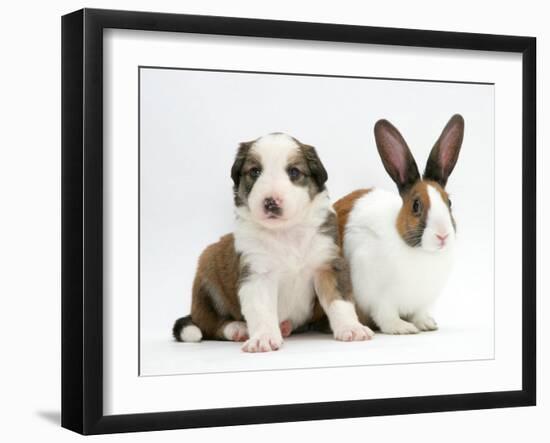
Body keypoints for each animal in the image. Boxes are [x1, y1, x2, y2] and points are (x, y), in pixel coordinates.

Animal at [174, 134, 376, 352]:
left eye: (294, 172)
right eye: (255, 171)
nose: (270, 202)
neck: (286, 232)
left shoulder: (327, 264)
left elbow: (339, 301)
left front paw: (351, 328)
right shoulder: (257, 273)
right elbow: (261, 310)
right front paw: (263, 338)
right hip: (207, 273)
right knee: (209, 324)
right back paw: (238, 328)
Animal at [336, 114, 466, 332]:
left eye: (449, 202)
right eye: (416, 205)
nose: (442, 235)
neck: (422, 253)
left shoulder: (423, 302)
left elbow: (419, 314)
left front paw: (427, 324)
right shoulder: (379, 297)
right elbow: (385, 315)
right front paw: (402, 328)